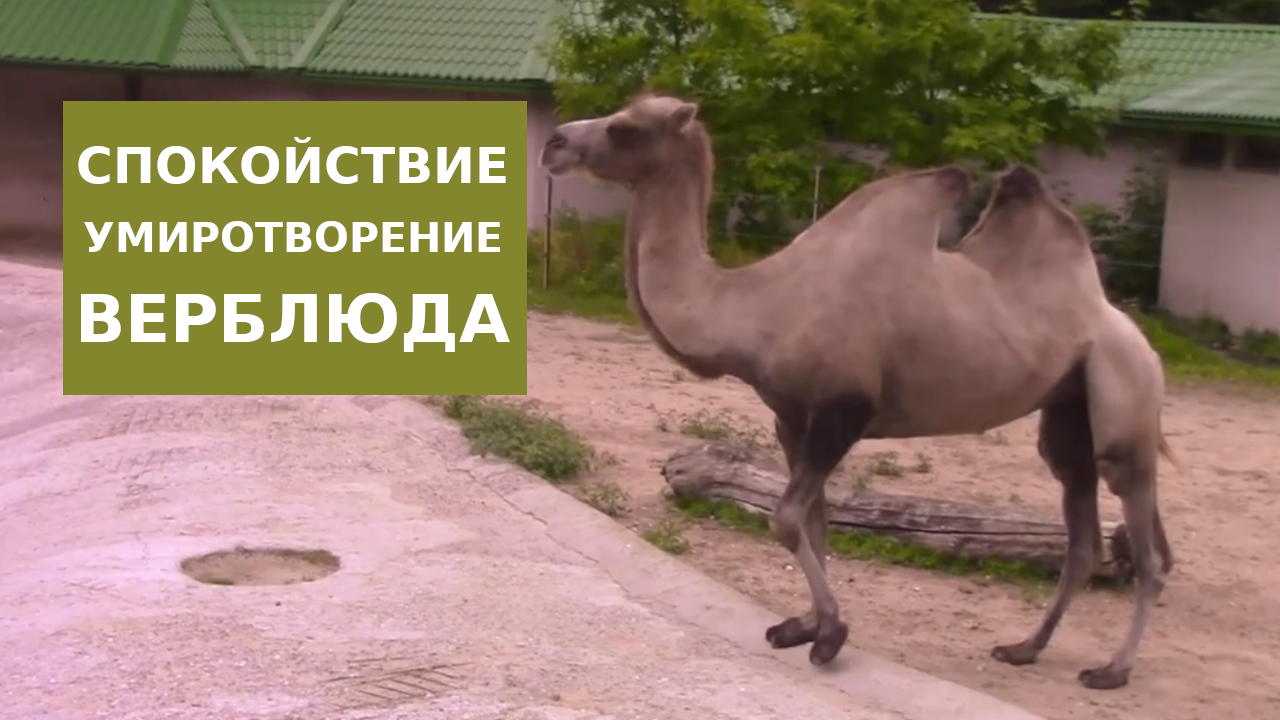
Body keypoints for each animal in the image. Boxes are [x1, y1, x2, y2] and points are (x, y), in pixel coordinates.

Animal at [538, 93, 1176, 690]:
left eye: (625, 127)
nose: (554, 142)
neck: (754, 309)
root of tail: (1136, 337)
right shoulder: (791, 417)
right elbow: (815, 519)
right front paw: (806, 625)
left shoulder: (843, 409)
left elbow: (786, 519)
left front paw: (830, 635)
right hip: (1067, 409)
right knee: (1082, 532)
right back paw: (1025, 648)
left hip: (1126, 400)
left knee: (1144, 544)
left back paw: (1112, 669)